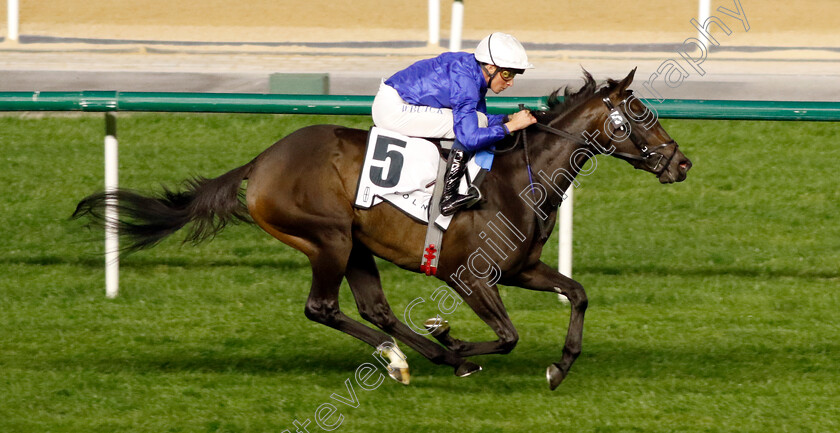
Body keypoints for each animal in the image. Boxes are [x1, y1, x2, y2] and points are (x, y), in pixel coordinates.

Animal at [74, 70, 688, 388]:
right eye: (640, 115)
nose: (680, 163)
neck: (519, 178)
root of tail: (261, 162)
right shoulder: (468, 276)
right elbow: (508, 335)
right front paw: (452, 336)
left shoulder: (521, 268)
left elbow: (577, 294)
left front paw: (559, 367)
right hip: (329, 238)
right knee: (323, 307)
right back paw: (415, 358)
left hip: (356, 244)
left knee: (375, 309)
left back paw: (419, 355)